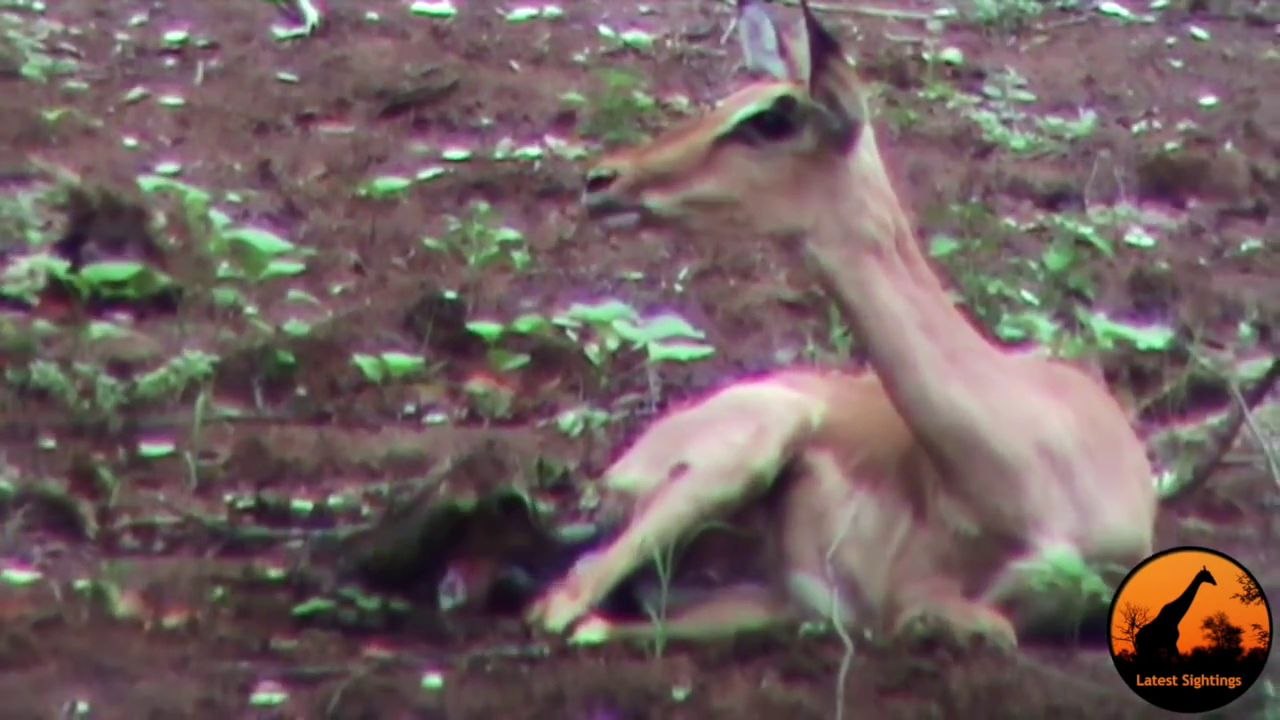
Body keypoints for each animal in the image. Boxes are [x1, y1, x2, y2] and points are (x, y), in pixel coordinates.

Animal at [524, 0, 1158, 651]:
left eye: (771, 120)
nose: (603, 178)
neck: (1036, 461)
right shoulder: (914, 596)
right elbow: (974, 624)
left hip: (757, 594)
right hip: (755, 446)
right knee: (567, 607)